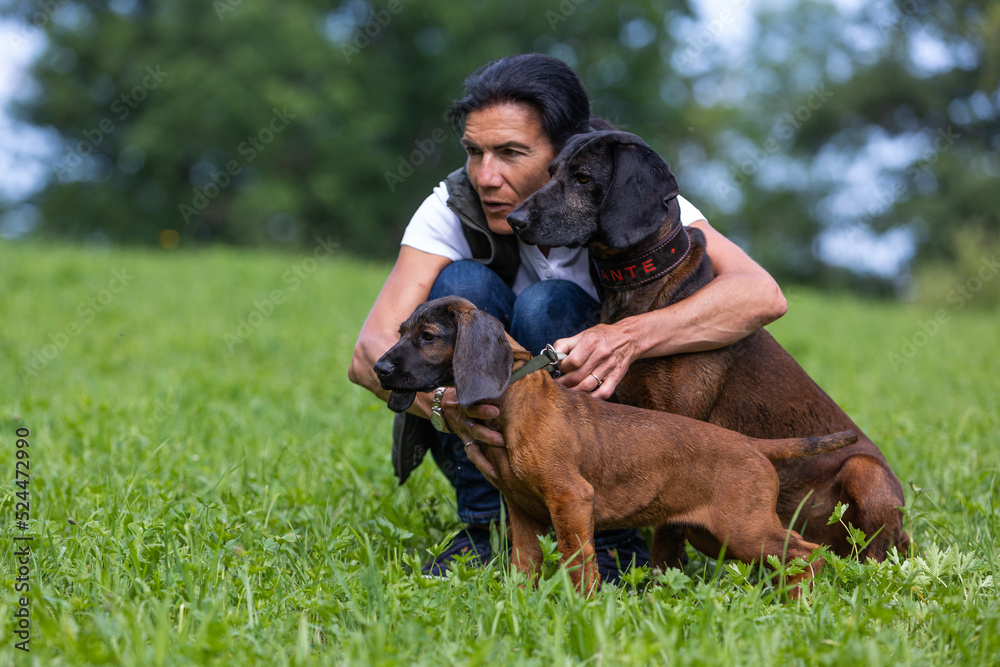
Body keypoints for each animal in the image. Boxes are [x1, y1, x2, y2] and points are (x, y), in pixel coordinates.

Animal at [376, 296, 860, 596]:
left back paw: (800, 603)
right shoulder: (522, 512)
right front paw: (521, 606)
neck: (516, 400)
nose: (379, 368)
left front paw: (582, 609)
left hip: (742, 529)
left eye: (428, 336)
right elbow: (525, 566)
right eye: (400, 331)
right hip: (711, 535)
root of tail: (754, 445)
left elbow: (578, 564)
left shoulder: (571, 500)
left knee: (808, 553)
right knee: (789, 559)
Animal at [512, 129, 912, 564]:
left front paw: (660, 577)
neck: (638, 283)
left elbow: (667, 531)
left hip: (864, 472)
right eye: (550, 171)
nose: (514, 220)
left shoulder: (681, 428)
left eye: (583, 177)